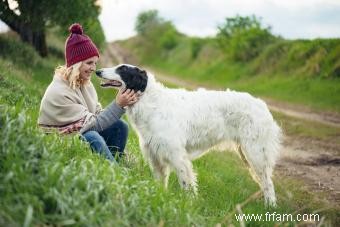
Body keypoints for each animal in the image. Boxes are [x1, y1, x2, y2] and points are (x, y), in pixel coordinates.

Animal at [95, 63, 282, 207]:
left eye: (122, 69)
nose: (98, 71)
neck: (151, 101)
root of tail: (261, 104)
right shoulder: (156, 155)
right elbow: (160, 184)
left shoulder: (177, 156)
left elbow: (186, 185)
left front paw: (189, 204)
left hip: (255, 153)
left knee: (268, 183)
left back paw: (270, 207)